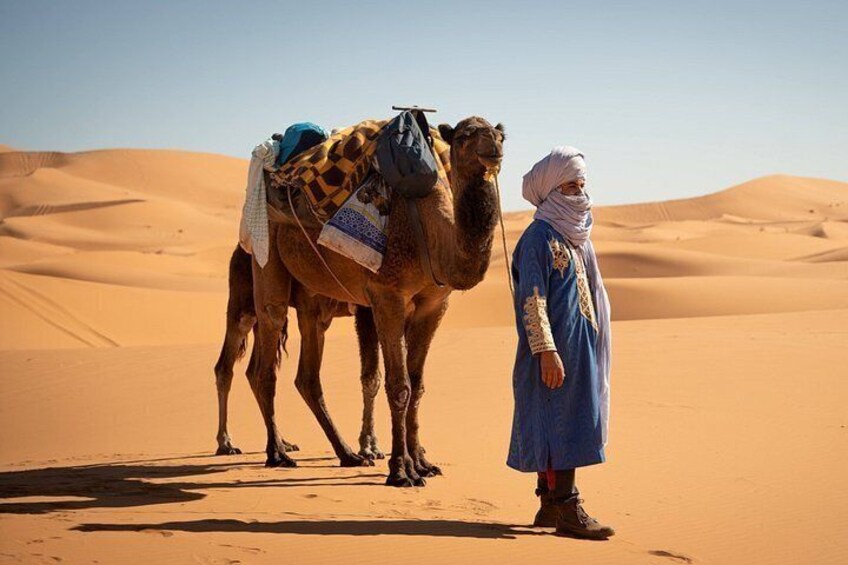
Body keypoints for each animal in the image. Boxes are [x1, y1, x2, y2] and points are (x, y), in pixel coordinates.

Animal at [220, 116, 504, 487]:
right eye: (465, 136)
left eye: (500, 135)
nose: (493, 148)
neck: (431, 235)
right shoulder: (386, 297)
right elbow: (396, 385)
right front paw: (401, 469)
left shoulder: (432, 306)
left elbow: (417, 386)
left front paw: (422, 462)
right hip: (264, 263)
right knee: (262, 357)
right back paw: (276, 453)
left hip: (312, 302)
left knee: (306, 375)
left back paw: (346, 454)